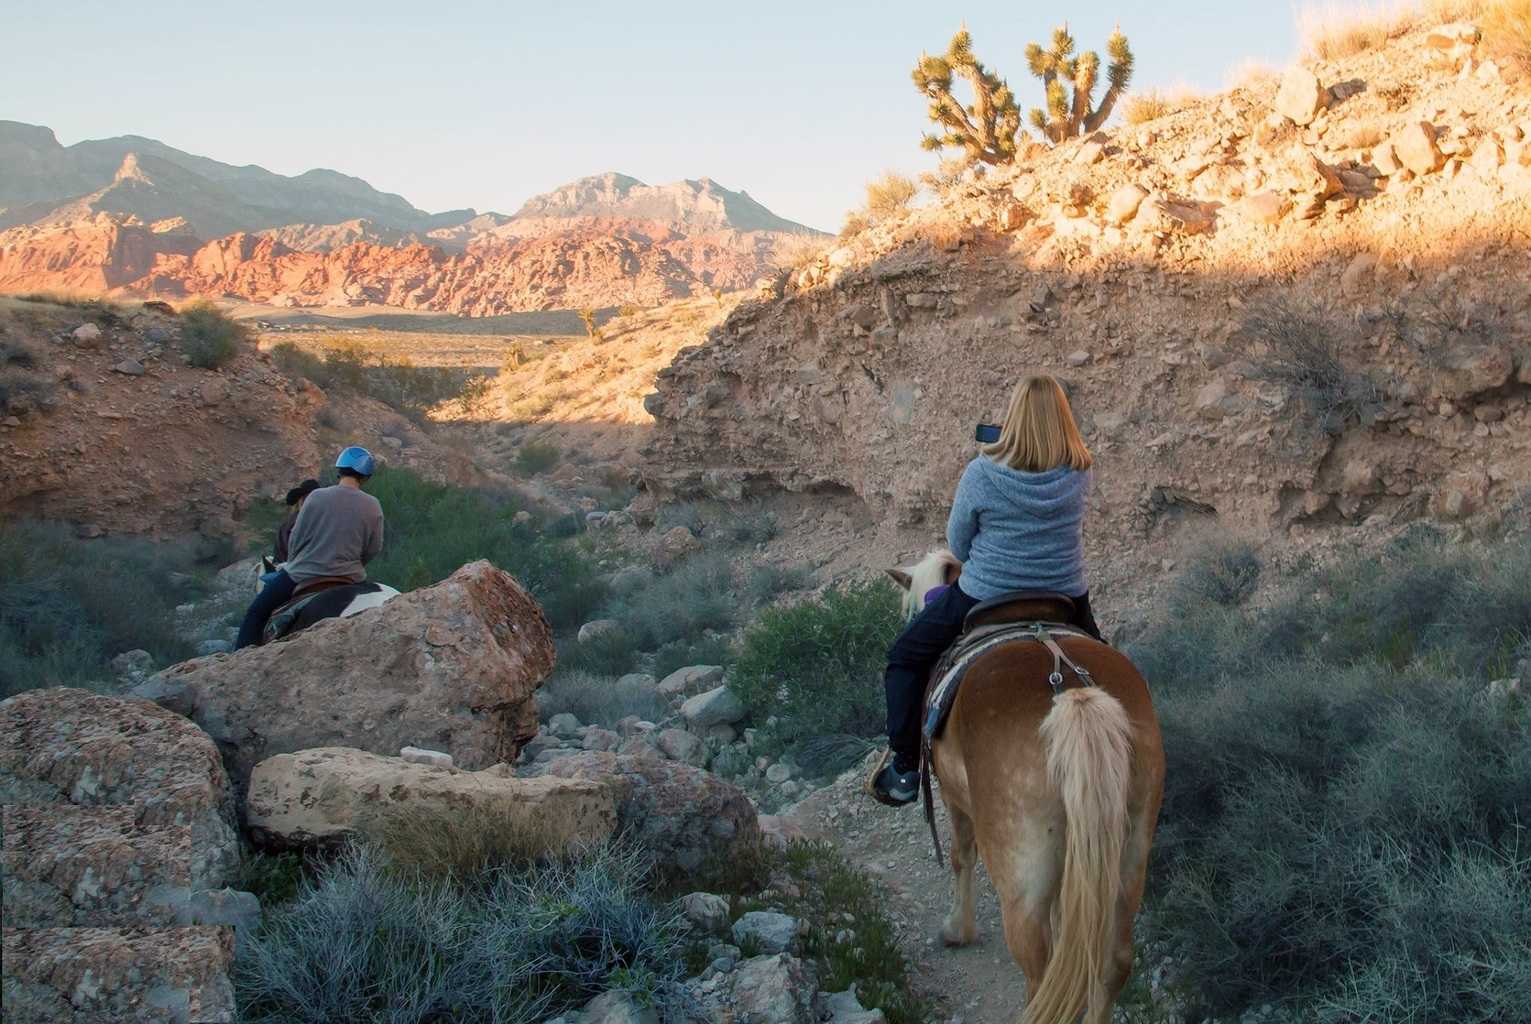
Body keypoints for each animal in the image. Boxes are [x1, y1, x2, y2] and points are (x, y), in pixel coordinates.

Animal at [887, 551, 1157, 1022]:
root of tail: (1071, 696)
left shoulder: (955, 800)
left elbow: (960, 855)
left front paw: (957, 930)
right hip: (1130, 852)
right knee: (1111, 962)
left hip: (1020, 869)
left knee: (1040, 968)